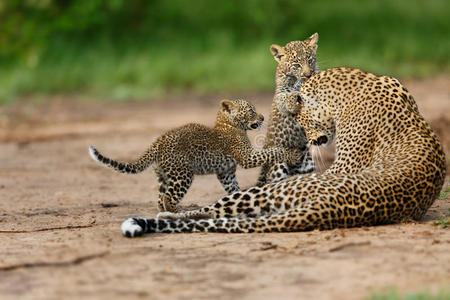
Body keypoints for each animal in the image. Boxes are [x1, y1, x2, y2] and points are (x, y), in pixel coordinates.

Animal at [120, 68, 446, 237]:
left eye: (303, 120)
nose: (311, 140)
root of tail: (326, 207)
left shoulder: (344, 164)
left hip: (269, 193)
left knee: (210, 210)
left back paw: (161, 214)